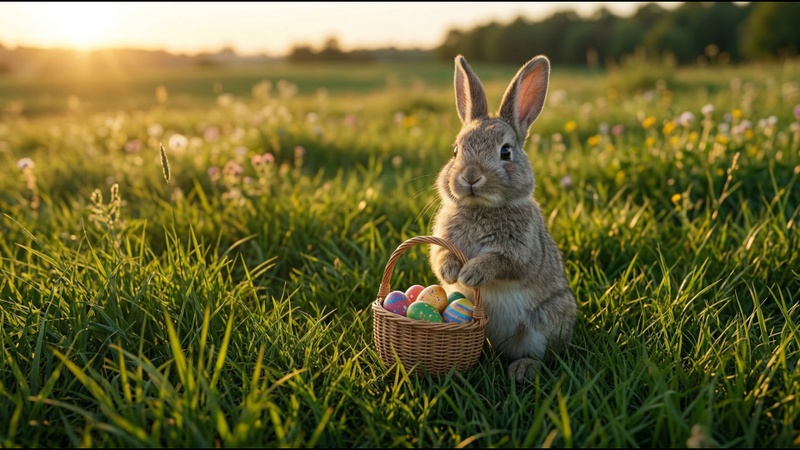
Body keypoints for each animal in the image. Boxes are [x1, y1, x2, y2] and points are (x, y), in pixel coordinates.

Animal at [429, 54, 577, 381]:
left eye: (506, 152)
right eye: (455, 150)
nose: (471, 176)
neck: (481, 208)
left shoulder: (521, 252)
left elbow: (503, 262)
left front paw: (470, 274)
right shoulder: (442, 240)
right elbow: (439, 256)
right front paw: (451, 272)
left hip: (545, 322)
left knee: (544, 355)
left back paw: (522, 369)